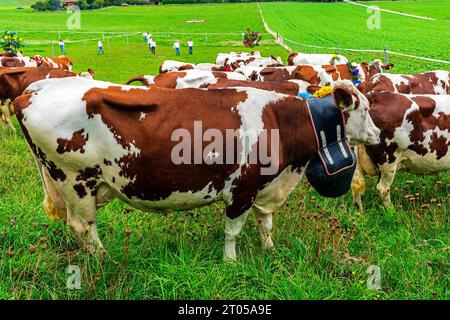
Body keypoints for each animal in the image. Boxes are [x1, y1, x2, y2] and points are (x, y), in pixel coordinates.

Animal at [14, 77, 380, 260]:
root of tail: (34, 89)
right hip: (74, 180)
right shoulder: (241, 189)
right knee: (82, 226)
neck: (277, 120)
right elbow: (233, 232)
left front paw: (269, 251)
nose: (377, 133)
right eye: (363, 108)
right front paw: (231, 263)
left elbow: (265, 223)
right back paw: (103, 261)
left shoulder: (266, 186)